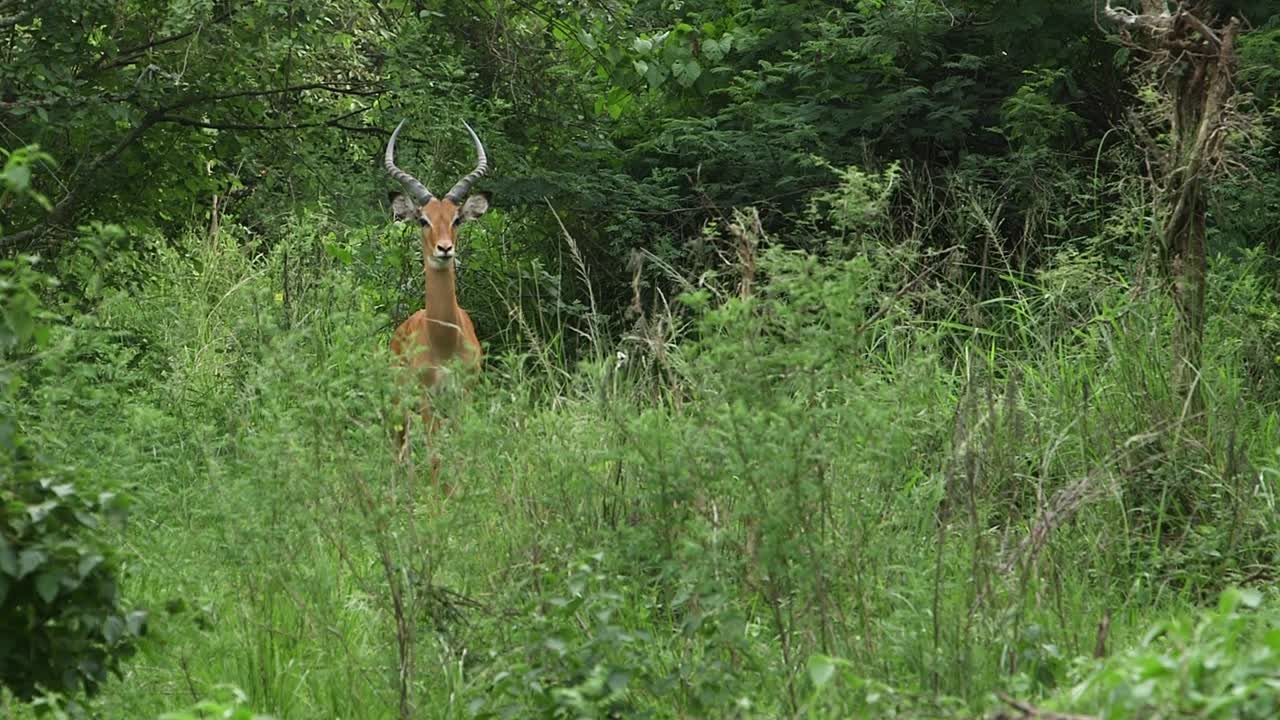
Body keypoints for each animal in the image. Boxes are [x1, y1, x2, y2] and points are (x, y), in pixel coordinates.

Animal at [384, 119, 489, 479]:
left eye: (456, 218)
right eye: (423, 219)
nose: (445, 248)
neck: (443, 339)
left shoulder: (463, 397)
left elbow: (457, 456)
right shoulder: (428, 400)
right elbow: (435, 459)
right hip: (400, 404)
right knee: (400, 450)